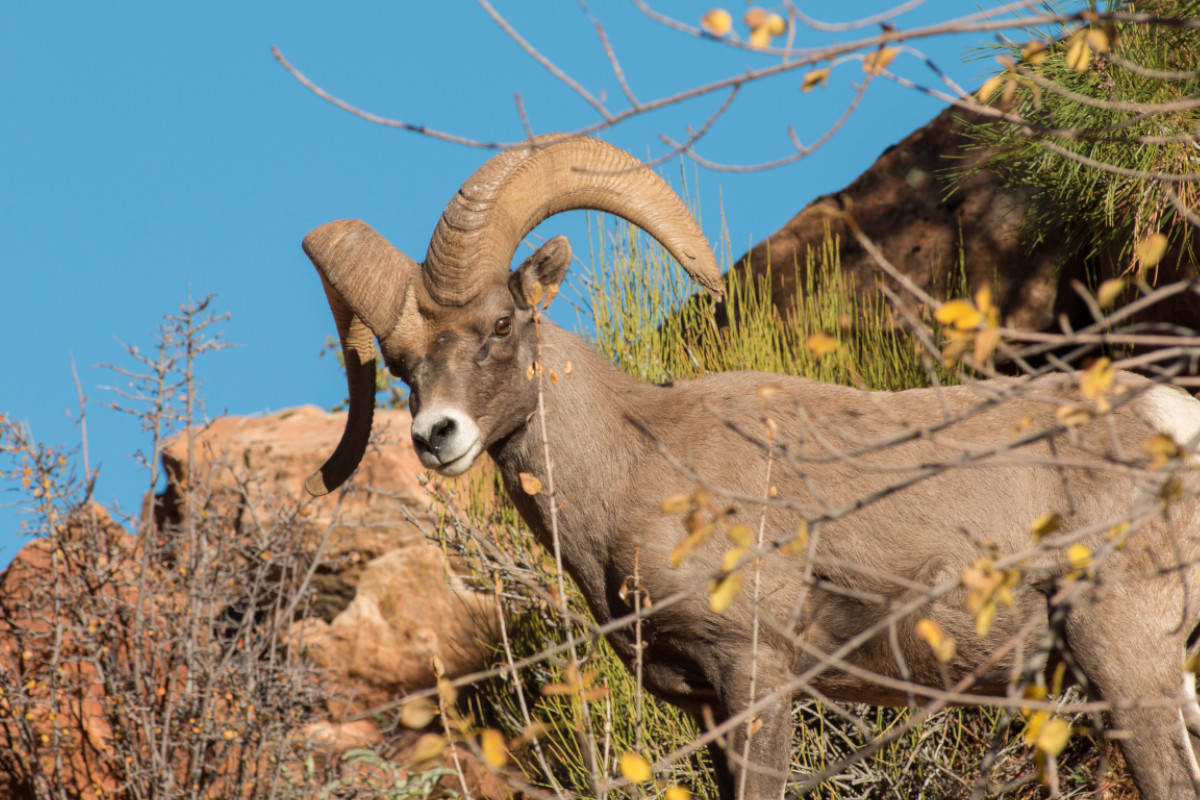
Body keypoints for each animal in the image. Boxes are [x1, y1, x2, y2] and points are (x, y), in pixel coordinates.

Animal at [302, 136, 1200, 800]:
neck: (636, 463)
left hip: (1127, 660)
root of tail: (1173, 427)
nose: (436, 436)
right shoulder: (703, 705)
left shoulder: (754, 677)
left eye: (498, 323)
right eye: (401, 364)